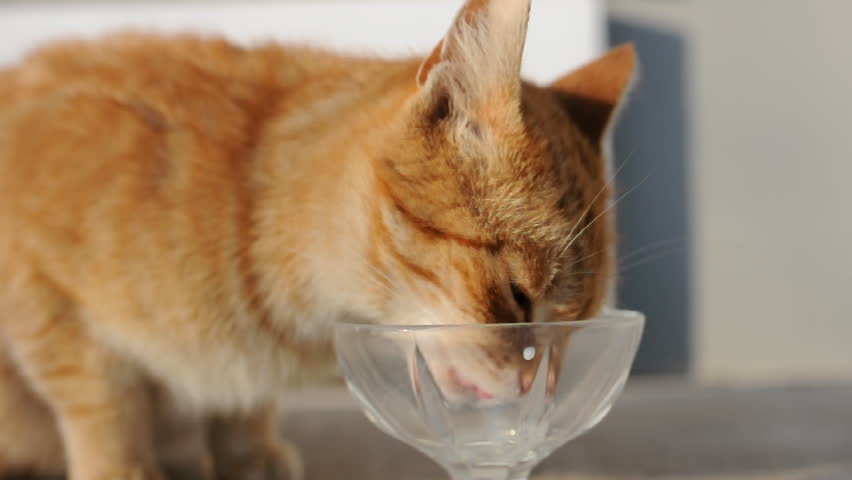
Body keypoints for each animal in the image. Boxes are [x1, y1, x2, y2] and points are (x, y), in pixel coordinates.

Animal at [0, 0, 636, 478]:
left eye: (576, 328)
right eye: (519, 297)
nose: (538, 386)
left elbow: (241, 414)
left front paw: (249, 456)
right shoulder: (44, 300)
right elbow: (104, 410)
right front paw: (124, 467)